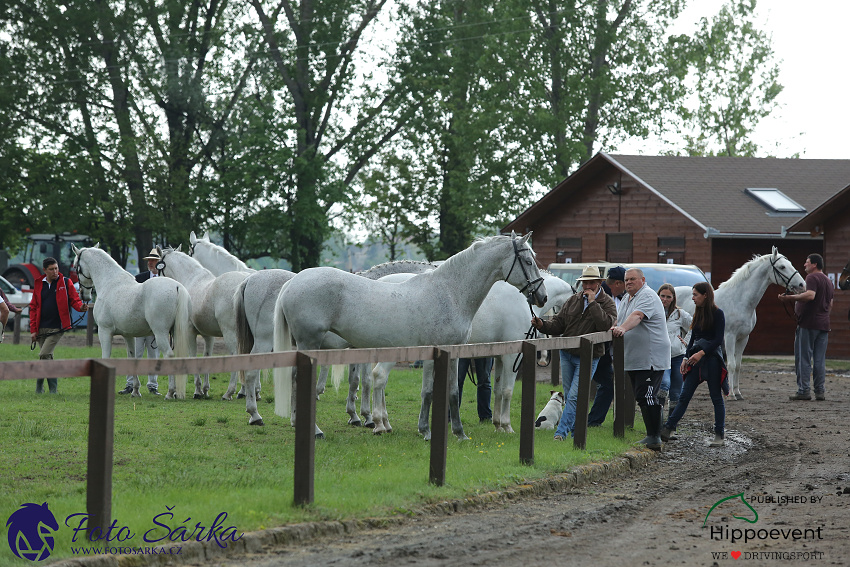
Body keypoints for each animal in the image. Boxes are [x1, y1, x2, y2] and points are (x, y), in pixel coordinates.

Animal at [71, 246, 194, 402]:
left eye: (76, 267)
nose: (84, 295)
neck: (110, 284)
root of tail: (177, 286)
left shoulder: (104, 332)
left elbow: (106, 356)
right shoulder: (128, 335)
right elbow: (133, 357)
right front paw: (135, 391)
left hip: (160, 333)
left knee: (169, 355)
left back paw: (170, 393)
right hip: (177, 332)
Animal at [157, 247, 250, 400]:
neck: (191, 279)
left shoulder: (189, 332)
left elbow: (193, 356)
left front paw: (197, 391)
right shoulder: (208, 335)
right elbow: (207, 356)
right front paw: (205, 390)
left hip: (230, 333)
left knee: (236, 355)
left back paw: (229, 392)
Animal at [274, 233, 548, 442]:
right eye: (527, 260)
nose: (542, 296)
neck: (450, 292)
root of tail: (292, 283)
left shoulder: (453, 353)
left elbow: (452, 393)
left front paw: (459, 433)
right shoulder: (431, 353)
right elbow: (428, 392)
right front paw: (426, 431)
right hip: (310, 344)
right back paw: (316, 430)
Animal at [672, 246, 804, 402]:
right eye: (782, 267)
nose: (802, 284)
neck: (739, 300)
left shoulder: (743, 338)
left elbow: (738, 365)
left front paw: (738, 392)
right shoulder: (729, 337)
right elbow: (731, 364)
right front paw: (730, 395)